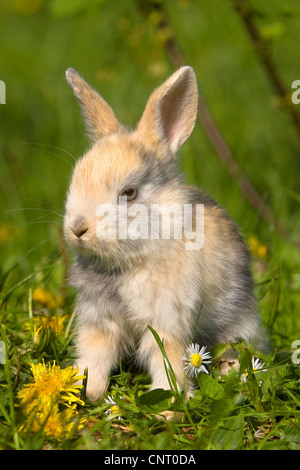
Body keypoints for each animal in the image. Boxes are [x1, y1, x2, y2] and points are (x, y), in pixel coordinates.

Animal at [63, 65, 270, 404]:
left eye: (129, 192)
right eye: (75, 179)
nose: (77, 228)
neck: (131, 260)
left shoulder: (166, 321)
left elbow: (167, 360)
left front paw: (169, 405)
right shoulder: (99, 319)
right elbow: (96, 355)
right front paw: (85, 389)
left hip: (239, 319)